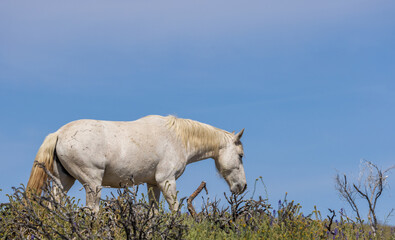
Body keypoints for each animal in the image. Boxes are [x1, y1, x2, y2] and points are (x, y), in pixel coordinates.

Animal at [27, 115, 248, 211]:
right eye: (241, 155)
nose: (243, 186)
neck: (178, 138)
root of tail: (58, 133)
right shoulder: (167, 180)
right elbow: (174, 208)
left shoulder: (153, 184)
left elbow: (154, 212)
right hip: (92, 183)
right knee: (92, 210)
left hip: (63, 182)